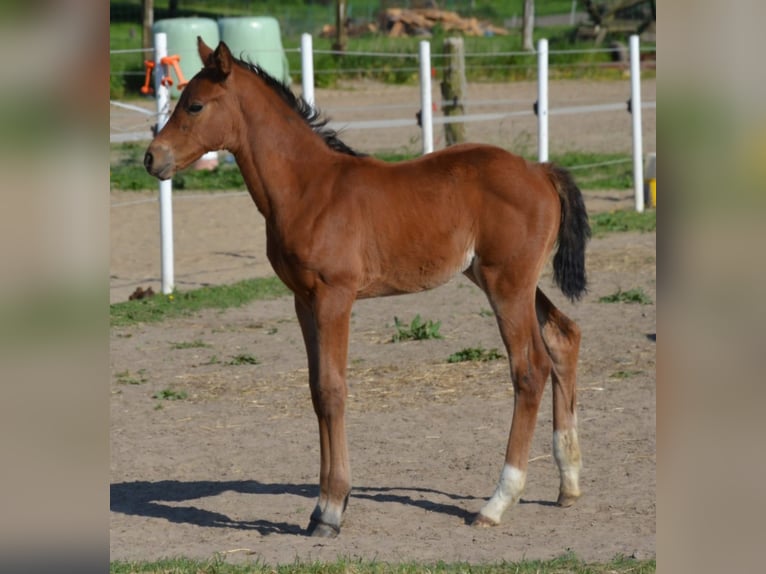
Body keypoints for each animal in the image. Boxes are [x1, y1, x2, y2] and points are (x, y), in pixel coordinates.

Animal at [144, 38, 591, 538]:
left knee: (529, 368)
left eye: (195, 105)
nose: (152, 157)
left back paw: (497, 502)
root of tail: (541, 170)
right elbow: (316, 391)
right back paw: (569, 484)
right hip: (506, 280)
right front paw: (320, 507)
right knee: (563, 337)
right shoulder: (302, 301)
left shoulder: (334, 297)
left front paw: (331, 509)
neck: (308, 189)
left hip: (506, 283)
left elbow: (333, 389)